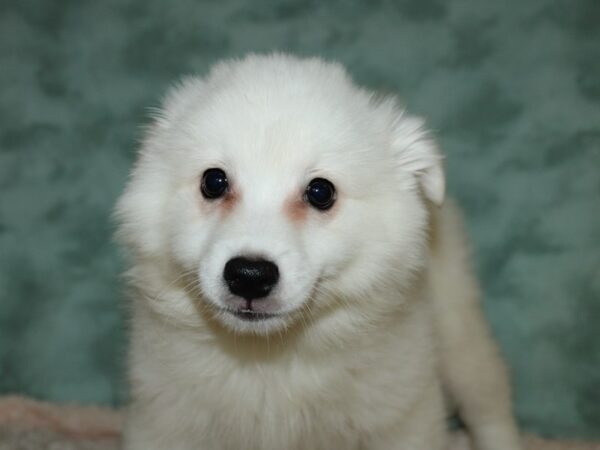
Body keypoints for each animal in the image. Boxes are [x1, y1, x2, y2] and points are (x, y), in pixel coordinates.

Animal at [115, 53, 524, 450]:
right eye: (214, 181)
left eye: (321, 192)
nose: (249, 276)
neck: (271, 357)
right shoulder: (161, 420)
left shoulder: (404, 416)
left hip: (457, 328)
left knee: (489, 402)